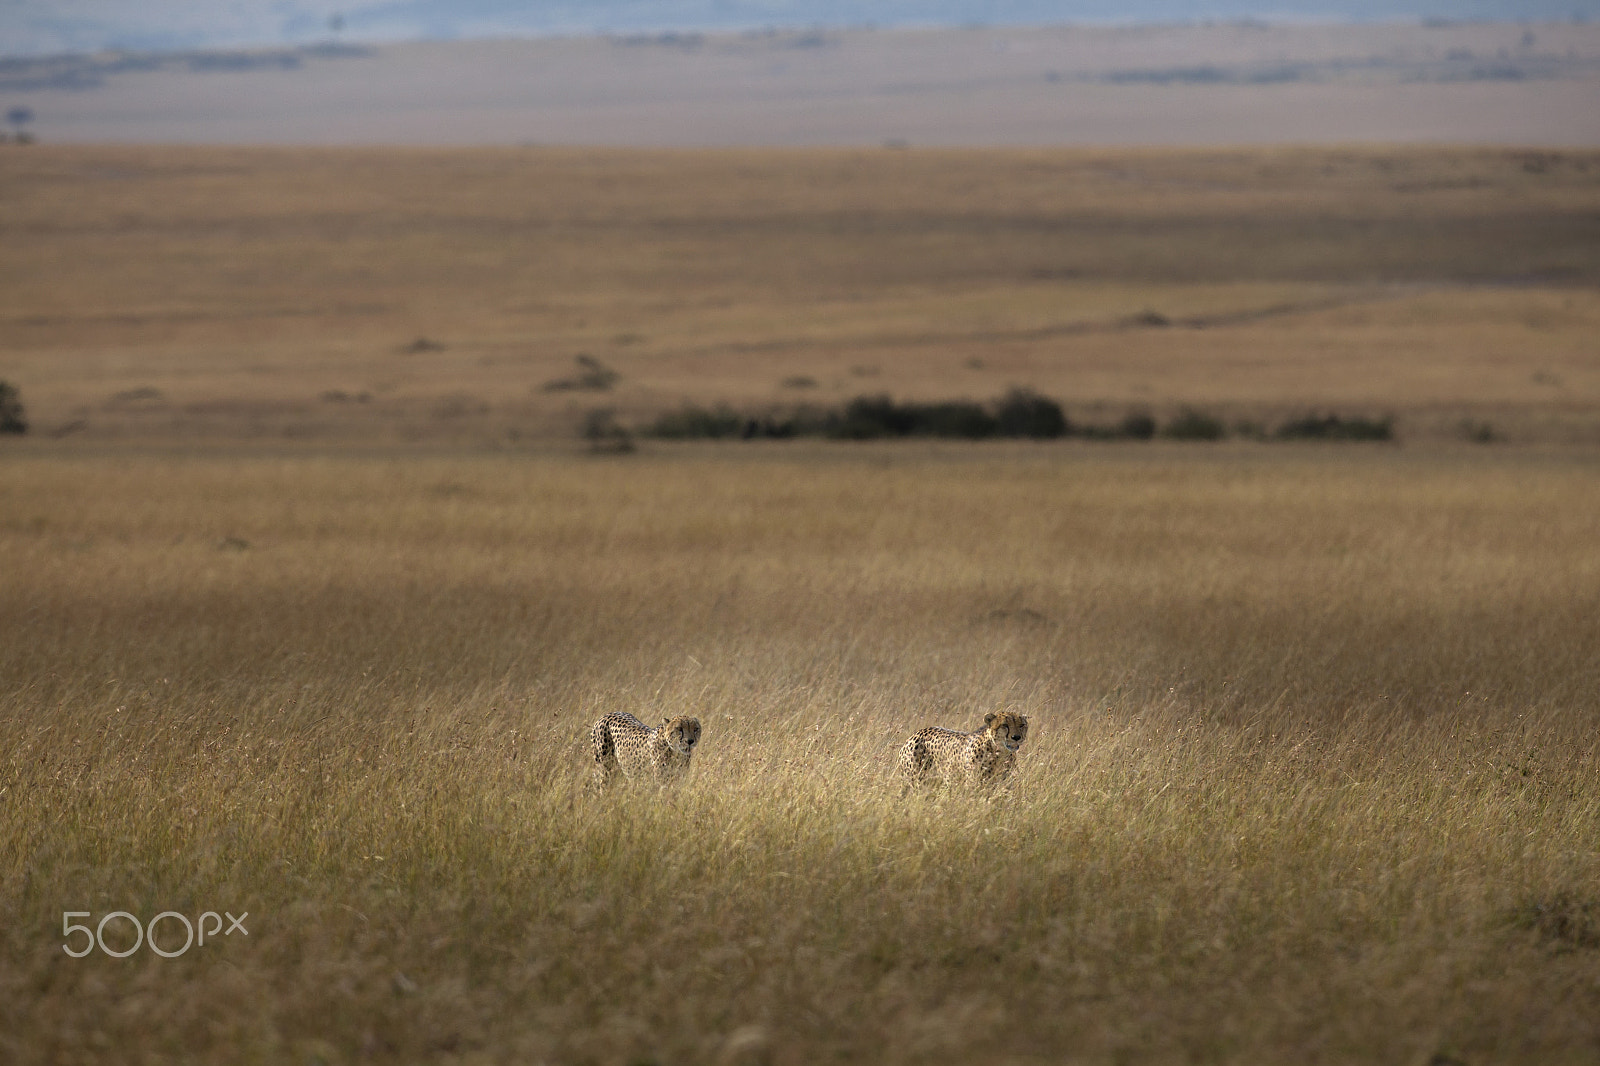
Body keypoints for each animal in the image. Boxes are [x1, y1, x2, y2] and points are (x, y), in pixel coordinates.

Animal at [896, 710, 1030, 793]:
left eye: (1022, 725)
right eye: (1004, 725)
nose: (1016, 737)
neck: (1000, 753)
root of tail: (916, 733)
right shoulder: (973, 785)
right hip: (915, 780)